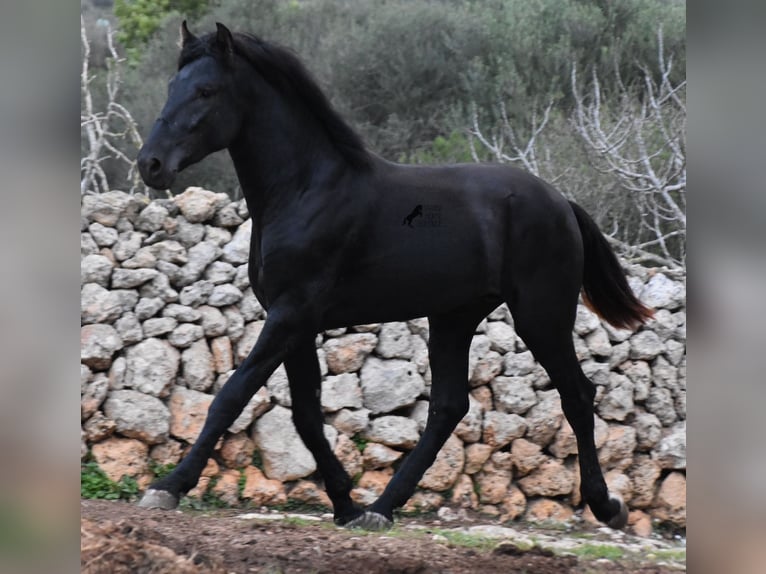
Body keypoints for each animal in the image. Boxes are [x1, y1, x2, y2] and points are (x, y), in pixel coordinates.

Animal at [136, 24, 656, 532]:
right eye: (172, 86)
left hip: (540, 316)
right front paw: (344, 502)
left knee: (577, 395)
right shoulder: (295, 324)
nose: (151, 164)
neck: (307, 190)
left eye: (206, 90)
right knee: (449, 407)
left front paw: (168, 487)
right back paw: (380, 508)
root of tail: (561, 203)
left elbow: (232, 395)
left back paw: (607, 507)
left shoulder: (290, 315)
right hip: (453, 318)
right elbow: (306, 416)